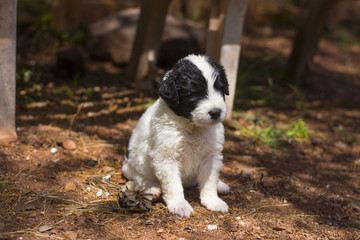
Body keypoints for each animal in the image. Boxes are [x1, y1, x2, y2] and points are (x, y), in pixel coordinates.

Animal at [122, 54, 231, 218]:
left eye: (220, 88)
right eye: (194, 93)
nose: (216, 112)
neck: (192, 127)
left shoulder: (211, 156)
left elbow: (209, 180)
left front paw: (213, 200)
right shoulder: (167, 157)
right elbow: (174, 185)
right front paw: (179, 205)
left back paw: (221, 185)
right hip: (132, 166)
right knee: (141, 178)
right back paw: (153, 189)